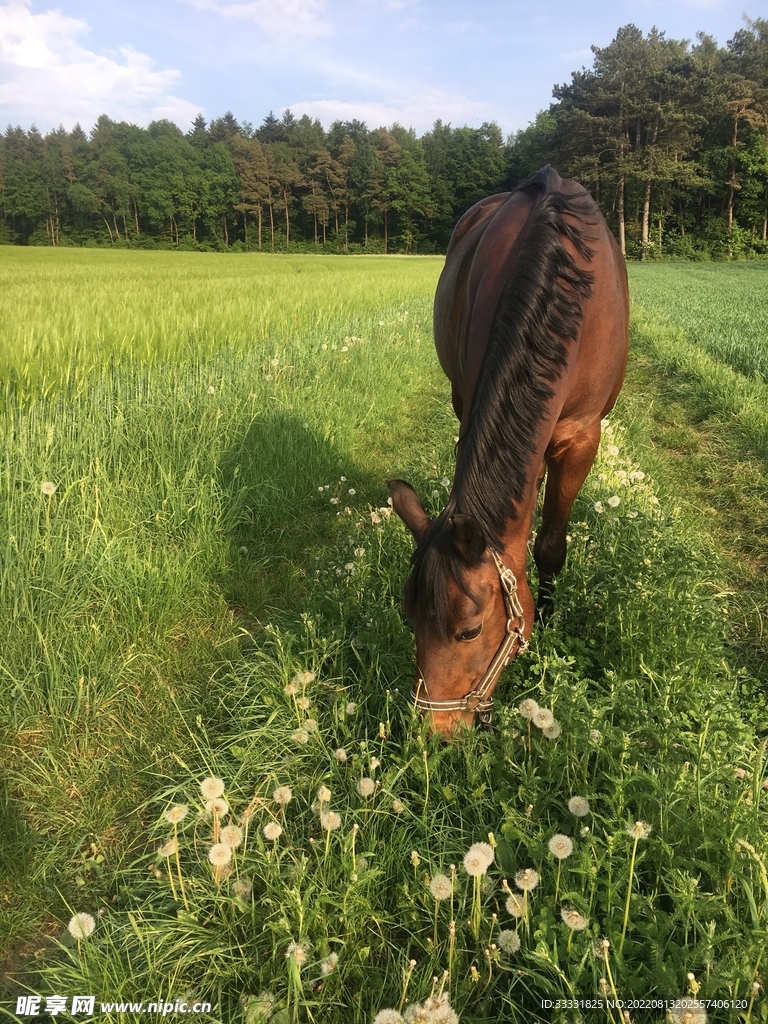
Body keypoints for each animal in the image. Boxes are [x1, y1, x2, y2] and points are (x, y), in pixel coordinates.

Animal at [387, 165, 629, 738]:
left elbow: (551, 546)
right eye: (408, 617)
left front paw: (549, 624)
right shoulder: (469, 402)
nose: (436, 732)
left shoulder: (583, 437)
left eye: (470, 631)